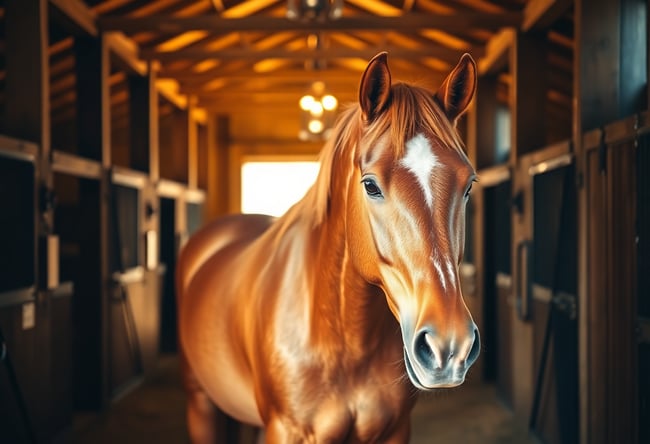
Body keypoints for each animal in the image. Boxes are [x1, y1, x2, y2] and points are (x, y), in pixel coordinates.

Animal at [177, 53, 480, 444]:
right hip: (199, 402)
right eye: (370, 185)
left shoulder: (396, 429)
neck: (344, 340)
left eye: (468, 185)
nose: (449, 345)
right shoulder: (285, 431)